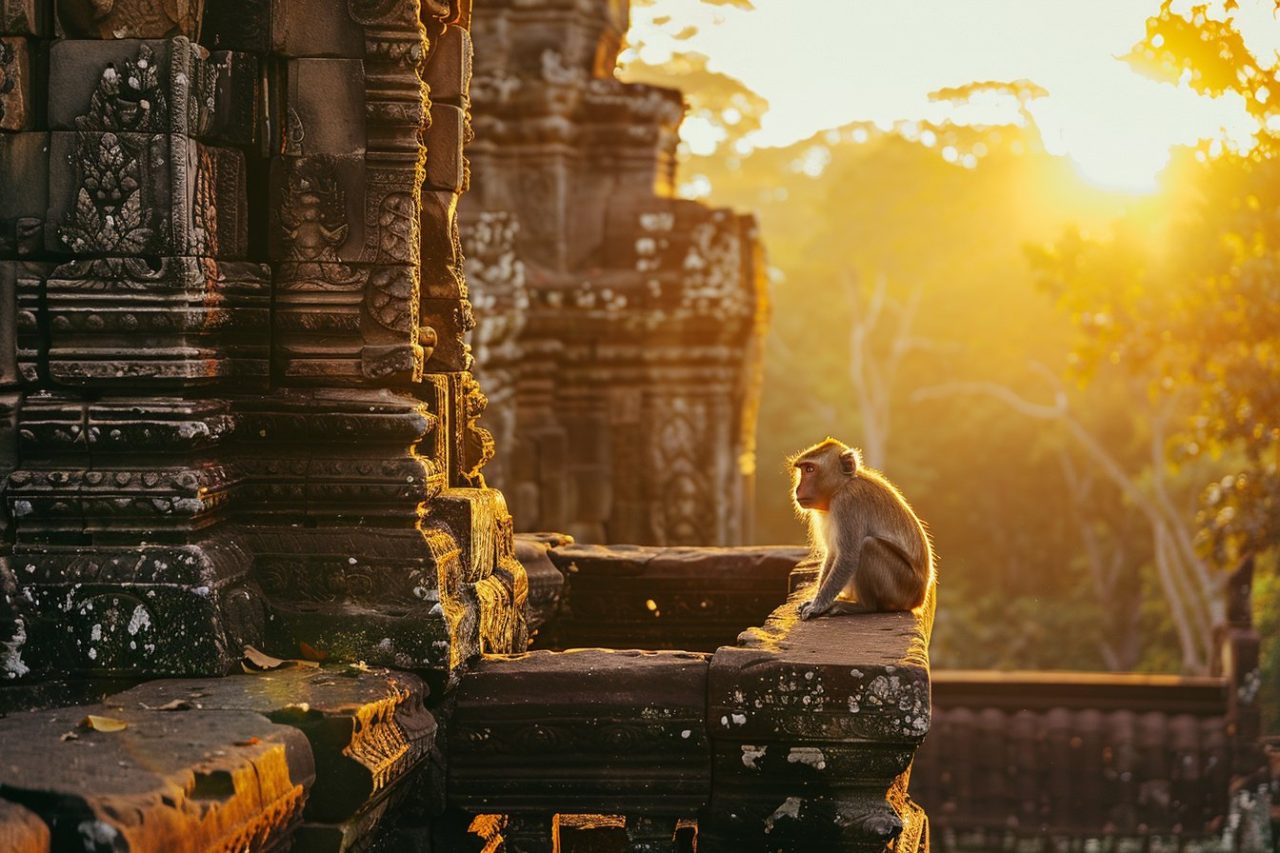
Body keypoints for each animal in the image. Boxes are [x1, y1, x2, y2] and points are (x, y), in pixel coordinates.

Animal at [790, 438, 934, 619]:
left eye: (810, 469)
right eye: (802, 469)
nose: (797, 489)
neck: (843, 485)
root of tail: (919, 599)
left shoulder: (847, 501)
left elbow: (847, 556)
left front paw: (817, 606)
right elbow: (833, 553)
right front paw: (813, 600)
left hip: (903, 587)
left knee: (868, 546)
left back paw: (864, 606)